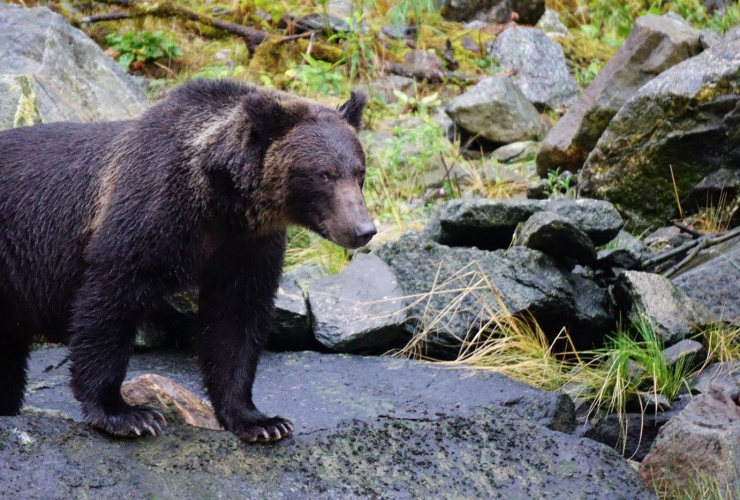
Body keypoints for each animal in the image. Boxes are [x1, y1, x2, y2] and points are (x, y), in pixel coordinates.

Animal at [0, 80, 372, 444]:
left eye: (360, 172)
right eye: (324, 174)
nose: (363, 230)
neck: (219, 201)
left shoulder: (246, 246)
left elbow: (235, 319)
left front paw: (261, 421)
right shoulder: (147, 212)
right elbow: (110, 300)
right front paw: (126, 414)